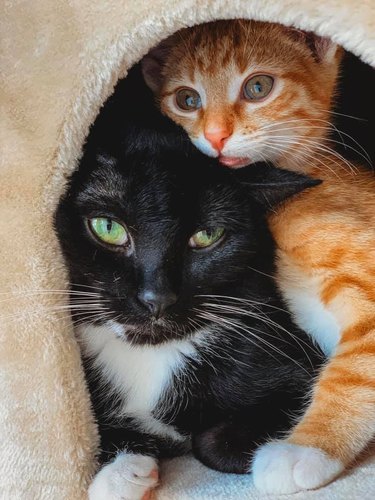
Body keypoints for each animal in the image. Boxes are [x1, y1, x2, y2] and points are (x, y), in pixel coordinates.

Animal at [54, 67, 322, 500]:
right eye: (108, 228)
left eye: (207, 235)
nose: (156, 298)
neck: (148, 355)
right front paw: (122, 472)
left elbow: (211, 442)